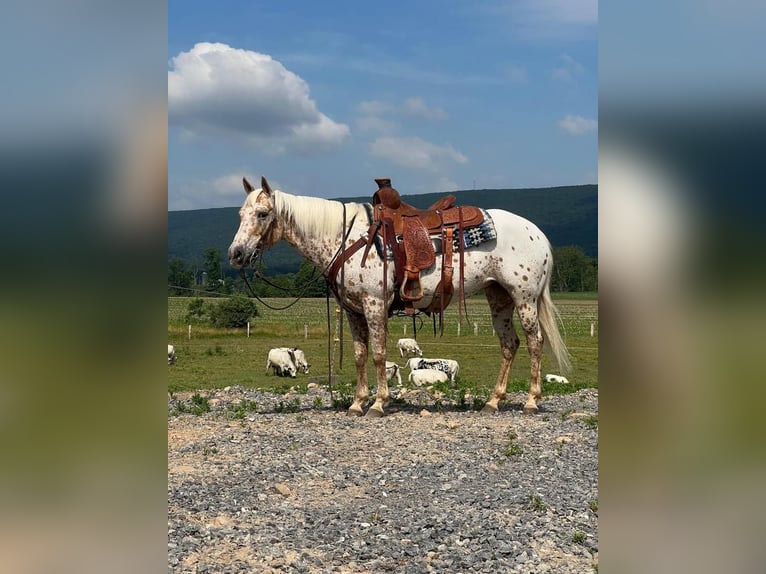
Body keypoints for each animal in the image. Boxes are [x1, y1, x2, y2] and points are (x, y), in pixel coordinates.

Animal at [228, 177, 568, 418]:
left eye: (262, 214)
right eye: (241, 214)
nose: (236, 254)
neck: (344, 238)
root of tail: (537, 233)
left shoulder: (374, 304)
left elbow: (378, 354)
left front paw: (378, 404)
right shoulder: (353, 310)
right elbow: (360, 355)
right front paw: (357, 403)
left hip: (524, 298)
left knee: (535, 343)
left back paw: (531, 401)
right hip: (498, 297)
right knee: (509, 344)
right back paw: (494, 401)